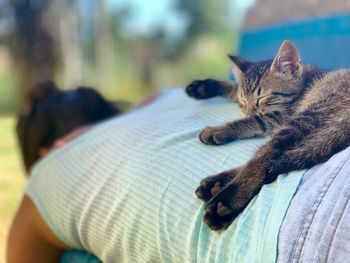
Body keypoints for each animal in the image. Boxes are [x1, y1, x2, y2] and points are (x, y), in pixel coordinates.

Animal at [187, 40, 350, 231]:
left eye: (263, 98)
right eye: (243, 103)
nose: (246, 112)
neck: (305, 80)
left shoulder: (281, 116)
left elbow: (254, 121)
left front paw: (218, 129)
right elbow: (234, 89)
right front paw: (203, 87)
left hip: (305, 117)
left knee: (265, 157)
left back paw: (224, 202)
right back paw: (215, 184)